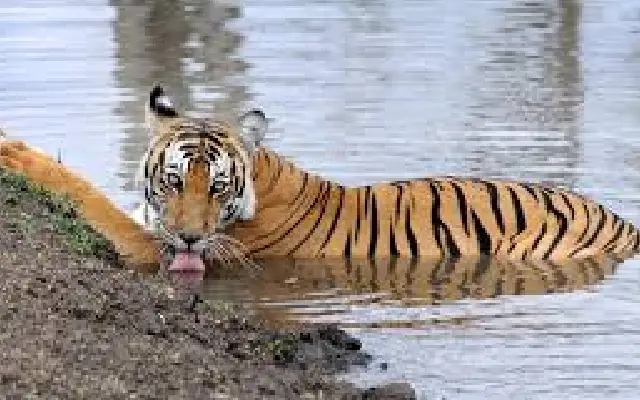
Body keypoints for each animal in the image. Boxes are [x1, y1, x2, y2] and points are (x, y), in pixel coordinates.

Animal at [0, 84, 639, 274]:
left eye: (218, 187)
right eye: (175, 181)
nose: (188, 239)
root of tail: (627, 226)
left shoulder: (150, 246)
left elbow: (87, 195)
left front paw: (15, 152)